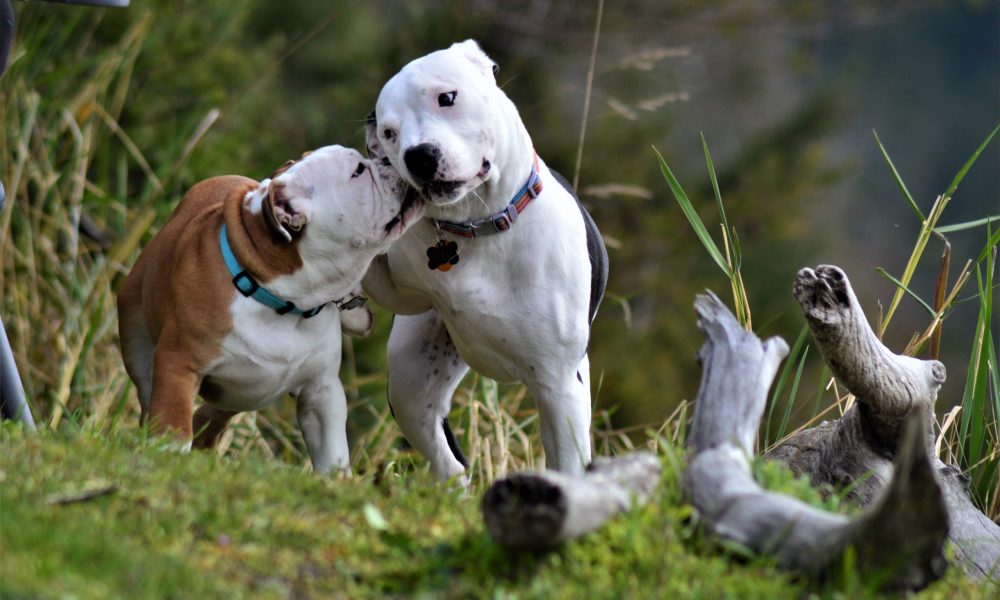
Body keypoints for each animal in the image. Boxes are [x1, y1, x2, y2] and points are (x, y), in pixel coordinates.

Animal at [117, 145, 422, 474]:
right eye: (358, 171)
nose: (387, 159)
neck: (283, 298)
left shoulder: (321, 390)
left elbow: (333, 453)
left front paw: (336, 480)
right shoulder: (179, 362)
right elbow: (173, 422)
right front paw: (169, 457)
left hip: (242, 392)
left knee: (215, 413)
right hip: (138, 336)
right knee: (150, 394)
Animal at [364, 39, 604, 480]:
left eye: (447, 98)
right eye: (389, 133)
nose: (417, 155)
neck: (478, 227)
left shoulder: (562, 385)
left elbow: (568, 467)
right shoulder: (398, 290)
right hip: (410, 377)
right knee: (448, 460)